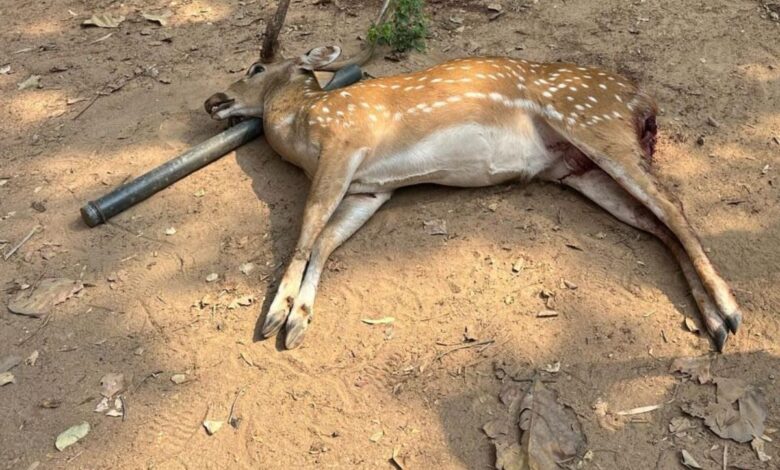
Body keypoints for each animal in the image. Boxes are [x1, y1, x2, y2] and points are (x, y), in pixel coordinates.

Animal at [203, 0, 742, 351]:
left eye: (255, 67)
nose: (213, 100)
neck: (301, 126)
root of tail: (642, 102)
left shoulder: (343, 144)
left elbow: (307, 228)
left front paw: (275, 315)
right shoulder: (370, 189)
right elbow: (326, 241)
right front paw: (299, 321)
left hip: (593, 123)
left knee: (673, 206)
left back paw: (731, 313)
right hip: (577, 169)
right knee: (657, 223)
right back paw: (713, 323)